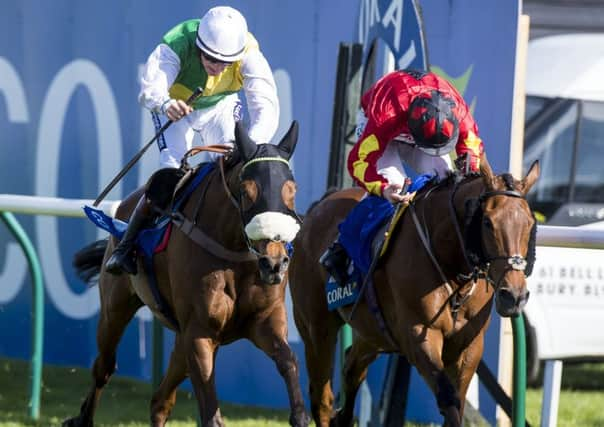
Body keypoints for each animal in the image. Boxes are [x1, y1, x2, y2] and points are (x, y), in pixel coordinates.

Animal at [65, 121, 310, 427]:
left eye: (292, 190)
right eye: (246, 190)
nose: (274, 263)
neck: (232, 251)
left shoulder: (264, 321)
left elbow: (289, 361)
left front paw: (300, 414)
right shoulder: (198, 332)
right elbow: (211, 415)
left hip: (181, 340)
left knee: (160, 400)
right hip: (116, 308)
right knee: (104, 367)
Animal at [290, 156, 540, 427]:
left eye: (530, 223)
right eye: (487, 222)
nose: (514, 296)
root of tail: (317, 209)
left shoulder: (470, 345)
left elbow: (458, 399)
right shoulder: (419, 335)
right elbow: (448, 399)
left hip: (373, 332)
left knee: (351, 367)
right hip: (316, 328)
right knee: (322, 399)